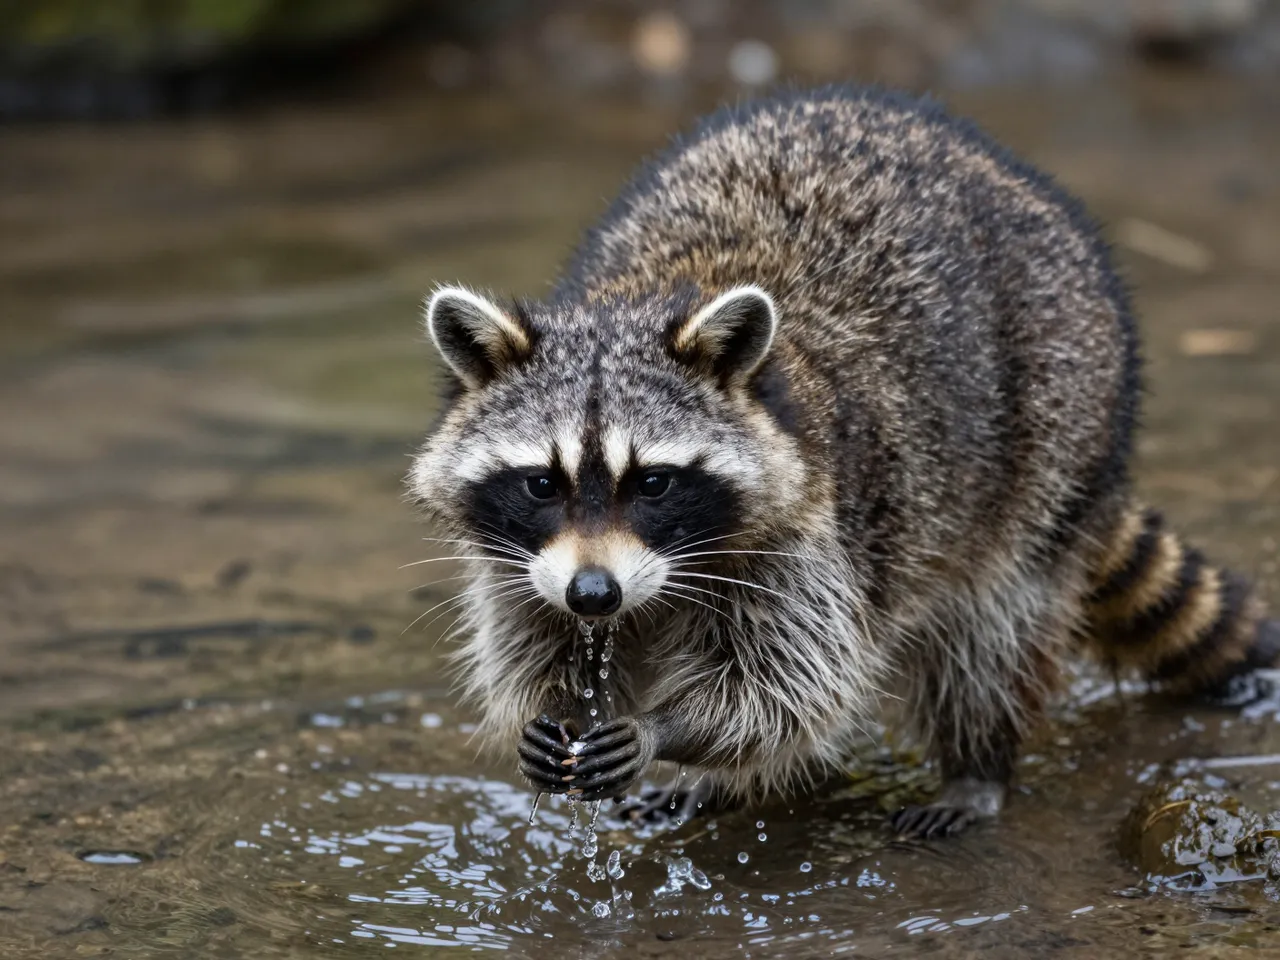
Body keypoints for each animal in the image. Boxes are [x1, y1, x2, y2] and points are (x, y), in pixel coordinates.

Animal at [408, 85, 1278, 837]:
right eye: (540, 483)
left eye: (653, 482)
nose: (595, 594)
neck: (641, 298)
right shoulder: (521, 561)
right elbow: (530, 639)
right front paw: (551, 708)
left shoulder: (812, 532)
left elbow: (795, 683)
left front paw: (665, 729)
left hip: (1056, 431)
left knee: (991, 631)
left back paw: (975, 765)